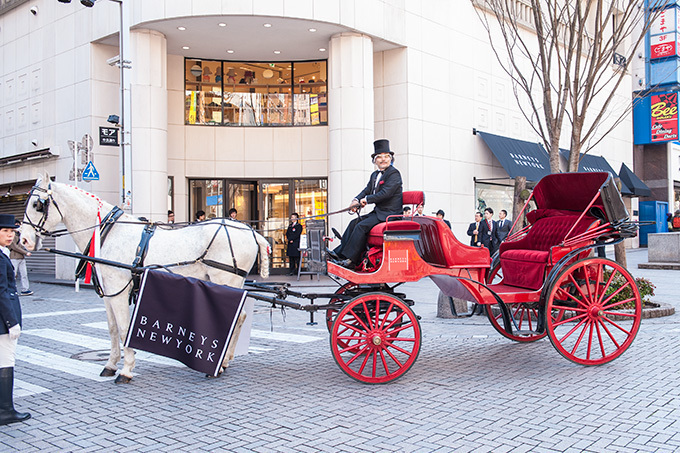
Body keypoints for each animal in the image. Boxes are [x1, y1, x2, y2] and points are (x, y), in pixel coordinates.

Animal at [19, 173, 268, 382]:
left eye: (37, 205)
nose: (23, 240)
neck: (107, 232)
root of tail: (250, 231)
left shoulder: (119, 288)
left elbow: (124, 328)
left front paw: (126, 369)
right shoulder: (108, 292)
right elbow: (112, 328)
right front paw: (110, 365)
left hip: (226, 280)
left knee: (235, 318)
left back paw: (220, 363)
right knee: (241, 316)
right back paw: (224, 361)